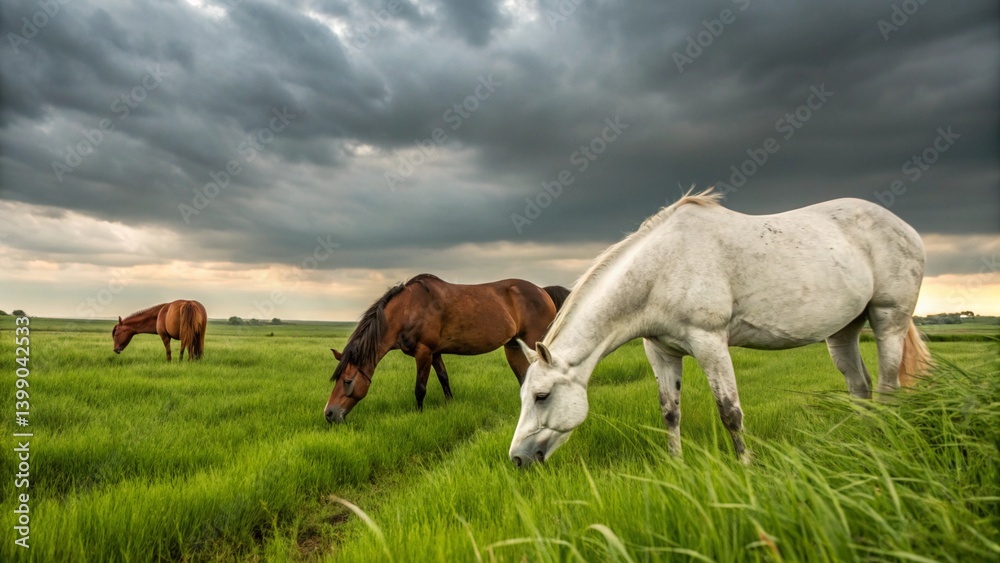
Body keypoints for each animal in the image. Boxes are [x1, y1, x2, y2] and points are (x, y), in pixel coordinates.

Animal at [324, 274, 569, 423]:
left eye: (347, 381)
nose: (329, 413)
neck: (408, 309)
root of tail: (542, 291)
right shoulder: (435, 353)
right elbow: (444, 379)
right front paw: (450, 406)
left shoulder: (423, 352)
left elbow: (420, 388)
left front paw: (419, 415)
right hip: (513, 347)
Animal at [509, 188, 932, 468]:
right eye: (524, 395)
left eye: (542, 396)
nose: (517, 458)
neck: (660, 270)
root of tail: (905, 227)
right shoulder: (661, 351)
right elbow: (670, 412)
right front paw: (676, 466)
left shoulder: (710, 343)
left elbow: (730, 412)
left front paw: (747, 466)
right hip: (843, 331)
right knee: (860, 388)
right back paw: (865, 439)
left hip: (888, 320)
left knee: (887, 386)